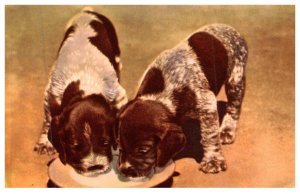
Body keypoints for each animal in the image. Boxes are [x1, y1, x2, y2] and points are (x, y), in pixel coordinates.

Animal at [34, 7, 127, 176]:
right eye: (75, 146)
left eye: (106, 142)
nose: (95, 167)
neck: (85, 85)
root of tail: (89, 11)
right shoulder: (51, 93)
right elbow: (48, 119)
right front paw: (45, 143)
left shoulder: (119, 96)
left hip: (116, 55)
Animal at [116, 23, 247, 180]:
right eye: (119, 145)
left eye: (143, 150)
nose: (124, 171)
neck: (163, 94)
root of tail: (229, 27)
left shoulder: (206, 101)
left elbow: (209, 134)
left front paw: (213, 160)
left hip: (236, 77)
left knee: (234, 107)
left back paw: (227, 130)